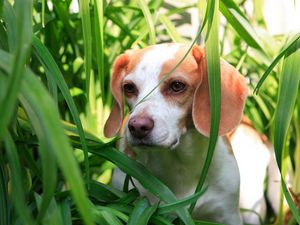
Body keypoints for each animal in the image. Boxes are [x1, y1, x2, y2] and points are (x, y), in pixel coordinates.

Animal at [104, 43, 278, 224]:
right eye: (129, 88)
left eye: (177, 85)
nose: (137, 126)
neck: (179, 164)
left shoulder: (227, 214)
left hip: (251, 208)